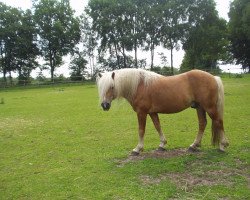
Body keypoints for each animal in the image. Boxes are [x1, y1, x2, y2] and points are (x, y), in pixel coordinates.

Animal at [96, 68, 229, 155]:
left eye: (112, 87)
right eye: (101, 88)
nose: (105, 105)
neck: (139, 85)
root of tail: (213, 77)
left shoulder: (141, 113)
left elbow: (141, 130)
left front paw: (138, 149)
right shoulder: (152, 112)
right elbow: (158, 126)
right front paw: (162, 144)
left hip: (210, 108)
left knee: (219, 122)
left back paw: (223, 145)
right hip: (199, 107)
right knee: (202, 123)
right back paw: (194, 146)